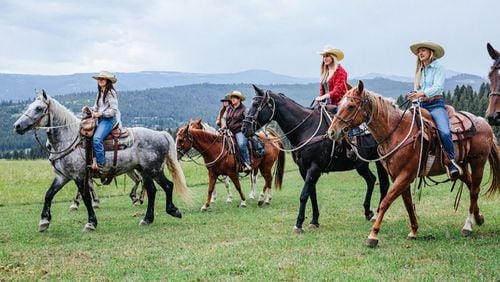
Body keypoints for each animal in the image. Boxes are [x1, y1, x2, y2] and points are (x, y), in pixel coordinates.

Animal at [14, 92, 189, 231]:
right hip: (144, 171)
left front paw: (91, 223)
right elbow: (49, 194)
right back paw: (147, 219)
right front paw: (44, 221)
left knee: (168, 186)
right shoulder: (62, 176)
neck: (70, 139)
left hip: (153, 170)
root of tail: (161, 134)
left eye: (38, 108)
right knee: (152, 191)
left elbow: (86, 197)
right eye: (29, 106)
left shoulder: (79, 176)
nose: (17, 126)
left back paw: (173, 210)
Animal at [242, 86, 390, 234]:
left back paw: (377, 214)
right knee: (371, 180)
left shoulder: (314, 168)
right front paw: (314, 220)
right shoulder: (304, 169)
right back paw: (368, 212)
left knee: (384, 185)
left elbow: (304, 195)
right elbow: (312, 193)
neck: (306, 128)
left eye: (256, 104)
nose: (244, 128)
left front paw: (298, 224)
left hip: (380, 161)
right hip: (360, 164)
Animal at [328, 80, 500, 247]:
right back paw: (479, 218)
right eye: (340, 104)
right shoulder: (398, 176)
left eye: (351, 106)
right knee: (471, 186)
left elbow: (386, 202)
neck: (397, 132)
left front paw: (373, 236)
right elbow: (408, 204)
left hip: (478, 162)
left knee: (475, 190)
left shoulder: (405, 176)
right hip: (461, 166)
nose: (332, 132)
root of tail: (483, 122)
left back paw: (468, 225)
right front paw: (413, 231)